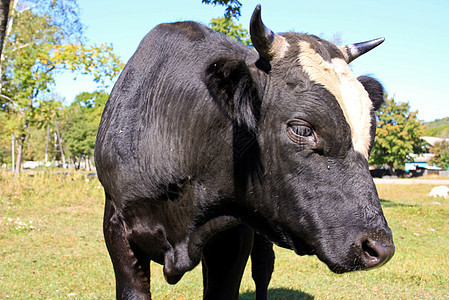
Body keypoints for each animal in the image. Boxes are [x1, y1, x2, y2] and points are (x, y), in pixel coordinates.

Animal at [93, 5, 392, 300]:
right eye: (302, 129)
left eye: (371, 130)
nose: (380, 247)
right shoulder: (116, 224)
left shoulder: (235, 232)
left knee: (263, 270)